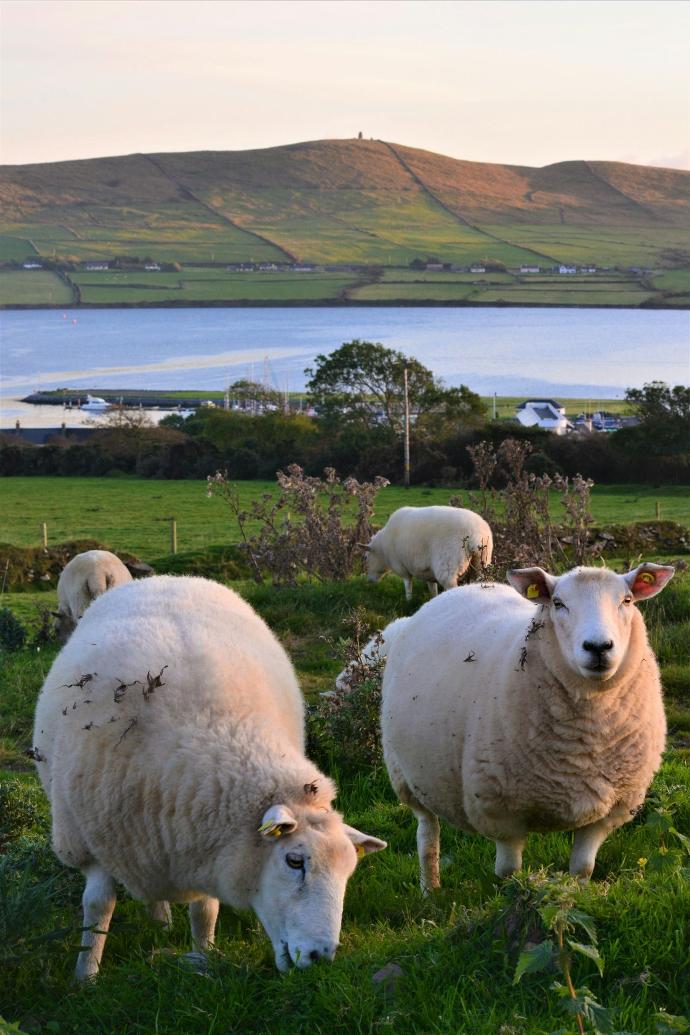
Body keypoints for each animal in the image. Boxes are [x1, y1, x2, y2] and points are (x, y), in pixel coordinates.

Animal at [32, 575, 386, 977]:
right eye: (294, 861)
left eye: (348, 871)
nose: (319, 957)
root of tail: (164, 578)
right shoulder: (89, 840)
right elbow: (98, 907)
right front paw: (86, 975)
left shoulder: (201, 841)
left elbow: (204, 909)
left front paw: (203, 959)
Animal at [364, 507, 494, 604]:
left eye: (365, 558)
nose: (369, 581)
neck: (382, 549)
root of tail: (475, 535)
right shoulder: (427, 572)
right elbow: (432, 589)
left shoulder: (401, 567)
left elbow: (408, 585)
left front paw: (408, 601)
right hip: (480, 564)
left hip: (447, 566)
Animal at [380, 563, 670, 885]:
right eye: (558, 603)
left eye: (627, 600)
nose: (598, 647)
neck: (588, 741)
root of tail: (455, 591)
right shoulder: (501, 813)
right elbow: (510, 874)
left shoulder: (608, 812)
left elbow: (583, 869)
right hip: (406, 776)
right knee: (427, 834)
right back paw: (430, 888)